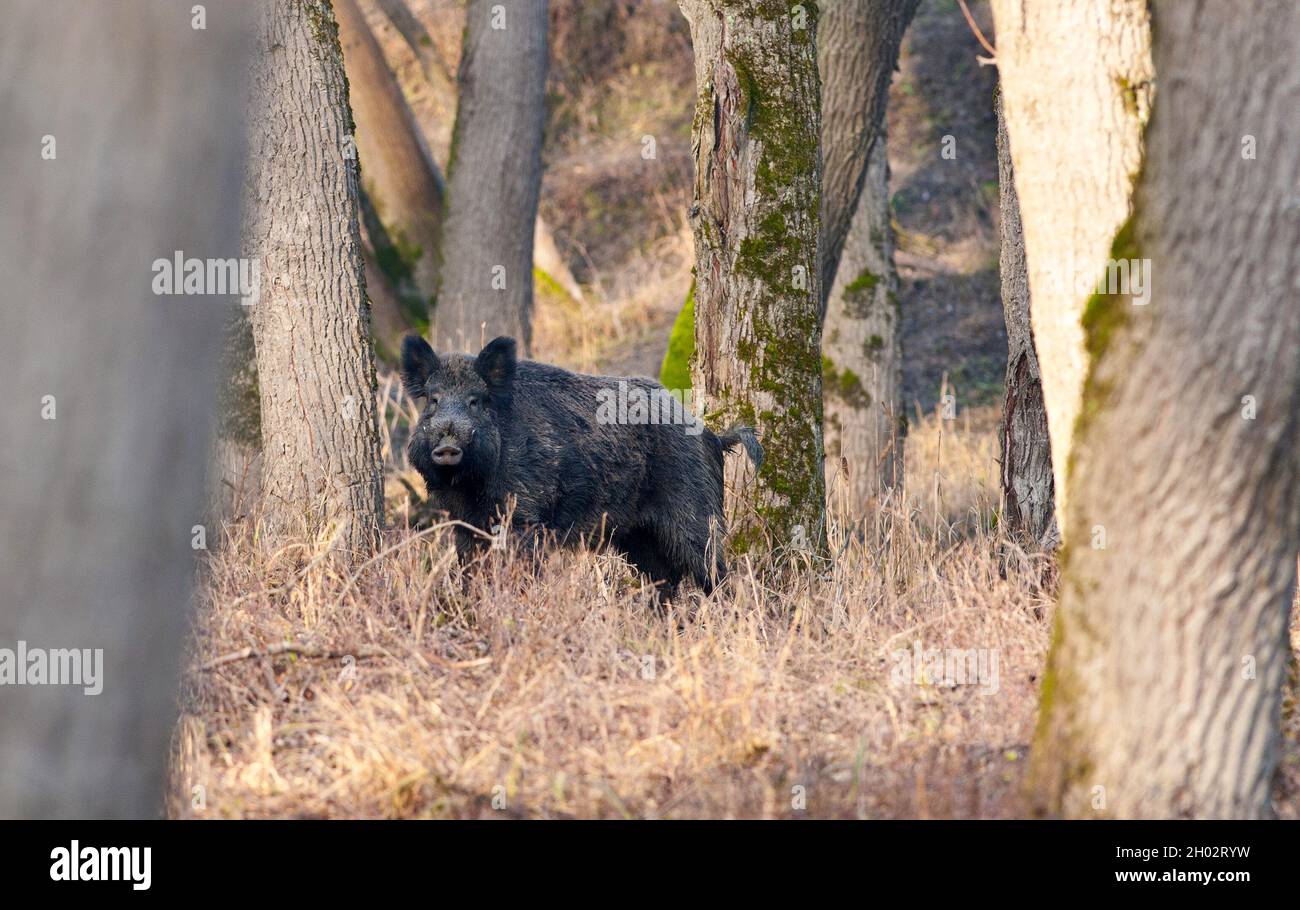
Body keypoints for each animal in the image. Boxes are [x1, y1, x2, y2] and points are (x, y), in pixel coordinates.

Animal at [401, 334, 762, 595]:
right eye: (433, 401)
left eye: (475, 401)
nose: (447, 445)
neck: (472, 484)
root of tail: (712, 435)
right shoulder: (464, 522)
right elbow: (469, 568)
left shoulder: (525, 518)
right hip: (638, 536)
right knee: (663, 580)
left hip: (696, 515)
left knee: (714, 571)